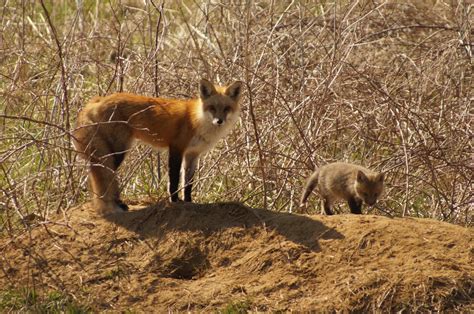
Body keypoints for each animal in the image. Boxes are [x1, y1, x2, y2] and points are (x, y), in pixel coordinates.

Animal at [75, 78, 244, 213]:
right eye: (212, 108)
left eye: (226, 109)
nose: (219, 121)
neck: (197, 120)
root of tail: (98, 100)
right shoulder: (176, 148)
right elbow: (174, 179)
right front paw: (175, 201)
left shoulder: (193, 154)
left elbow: (188, 182)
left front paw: (189, 202)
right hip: (117, 152)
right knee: (103, 175)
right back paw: (116, 203)